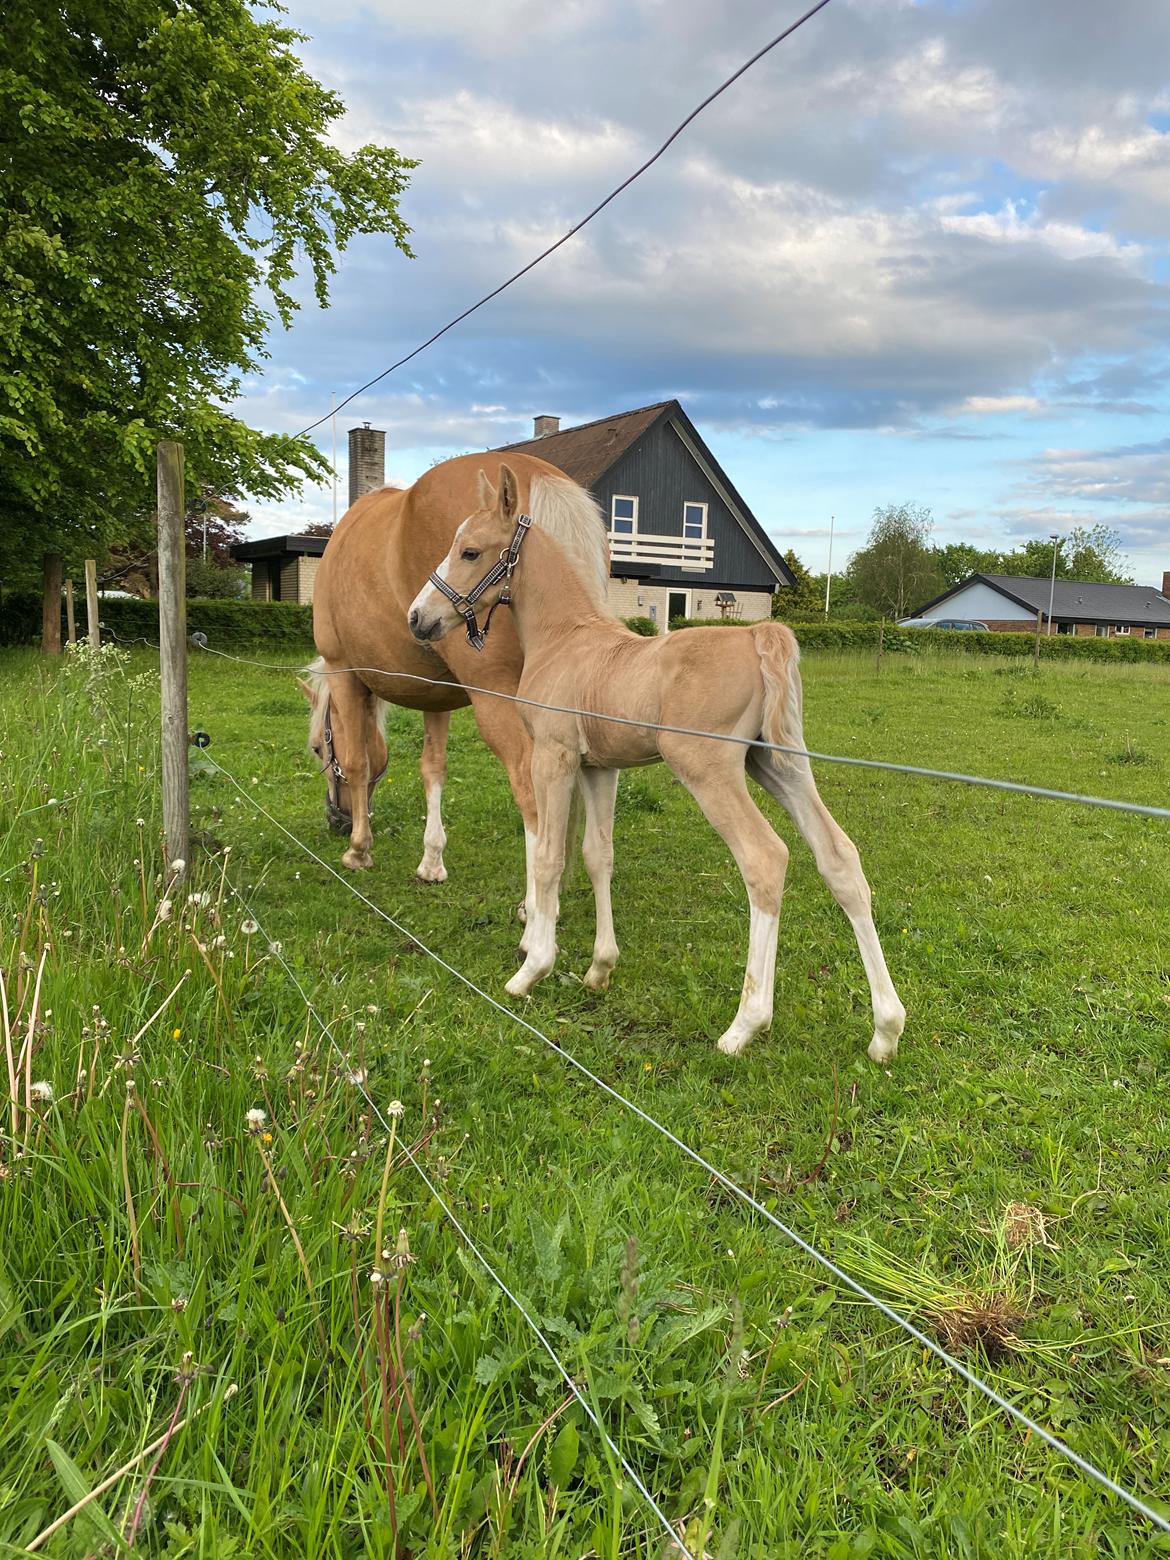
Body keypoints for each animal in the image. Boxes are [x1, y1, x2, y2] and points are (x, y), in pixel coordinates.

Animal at [408, 461, 904, 1060]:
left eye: (471, 551)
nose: (418, 618)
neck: (564, 637)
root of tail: (760, 637)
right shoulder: (600, 767)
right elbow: (597, 855)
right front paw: (600, 968)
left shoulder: (553, 756)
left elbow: (548, 856)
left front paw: (532, 968)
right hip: (779, 765)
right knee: (840, 858)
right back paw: (885, 1030)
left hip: (709, 770)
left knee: (765, 859)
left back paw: (745, 1024)